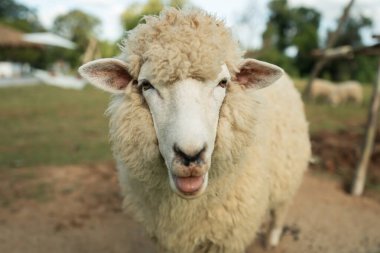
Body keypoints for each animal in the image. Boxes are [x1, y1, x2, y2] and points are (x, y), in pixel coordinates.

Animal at [78, 7, 310, 253]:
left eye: (223, 82)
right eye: (146, 85)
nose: (190, 155)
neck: (187, 210)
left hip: (287, 176)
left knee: (280, 211)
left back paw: (272, 240)